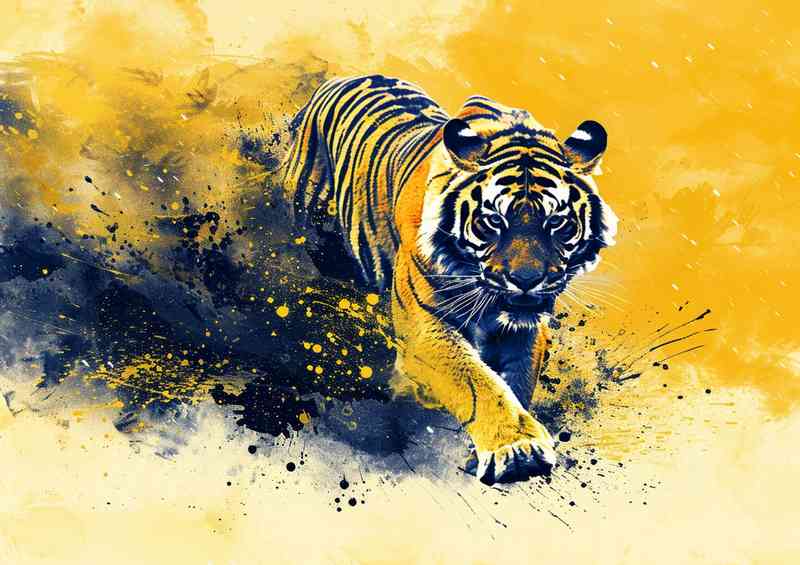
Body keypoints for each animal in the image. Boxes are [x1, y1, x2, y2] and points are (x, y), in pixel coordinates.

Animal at [284, 74, 617, 485]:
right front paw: (515, 448)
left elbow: (516, 381)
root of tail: (335, 81)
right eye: (493, 221)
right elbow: (477, 382)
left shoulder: (526, 331)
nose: (526, 280)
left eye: (556, 222)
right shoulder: (424, 328)